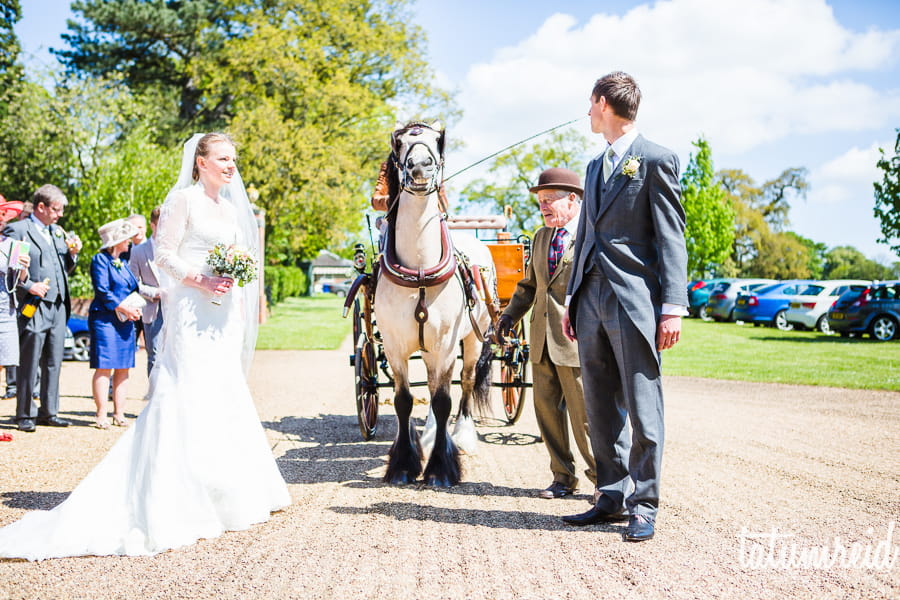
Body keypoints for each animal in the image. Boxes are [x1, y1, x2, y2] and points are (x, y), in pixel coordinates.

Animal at [376, 120, 496, 488]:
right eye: (399, 143)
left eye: (437, 141)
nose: (419, 166)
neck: (418, 269)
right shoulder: (395, 345)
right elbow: (404, 401)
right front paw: (403, 464)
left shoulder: (445, 345)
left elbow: (444, 400)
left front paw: (441, 469)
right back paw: (429, 436)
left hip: (472, 338)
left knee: (466, 382)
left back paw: (463, 436)